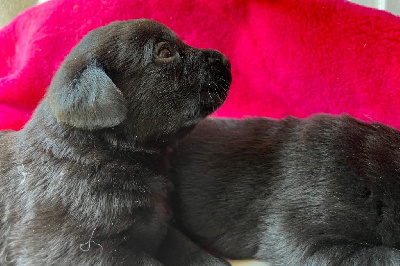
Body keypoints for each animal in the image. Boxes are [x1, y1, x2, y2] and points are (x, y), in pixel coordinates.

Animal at [0, 19, 231, 266]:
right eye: (165, 52)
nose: (227, 61)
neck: (98, 154)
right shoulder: (85, 250)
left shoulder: (160, 226)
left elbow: (190, 249)